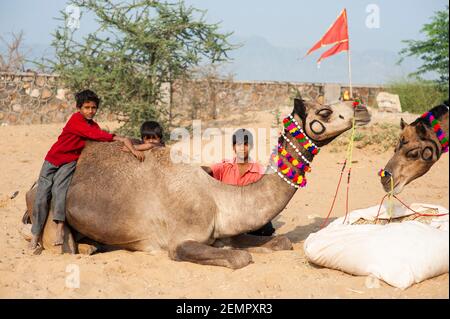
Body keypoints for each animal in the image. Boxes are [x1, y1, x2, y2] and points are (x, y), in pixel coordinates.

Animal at [22, 99, 370, 268]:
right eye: (324, 111)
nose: (361, 107)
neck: (218, 197)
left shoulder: (223, 232)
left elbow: (277, 242)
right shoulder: (181, 239)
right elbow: (240, 258)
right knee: (64, 243)